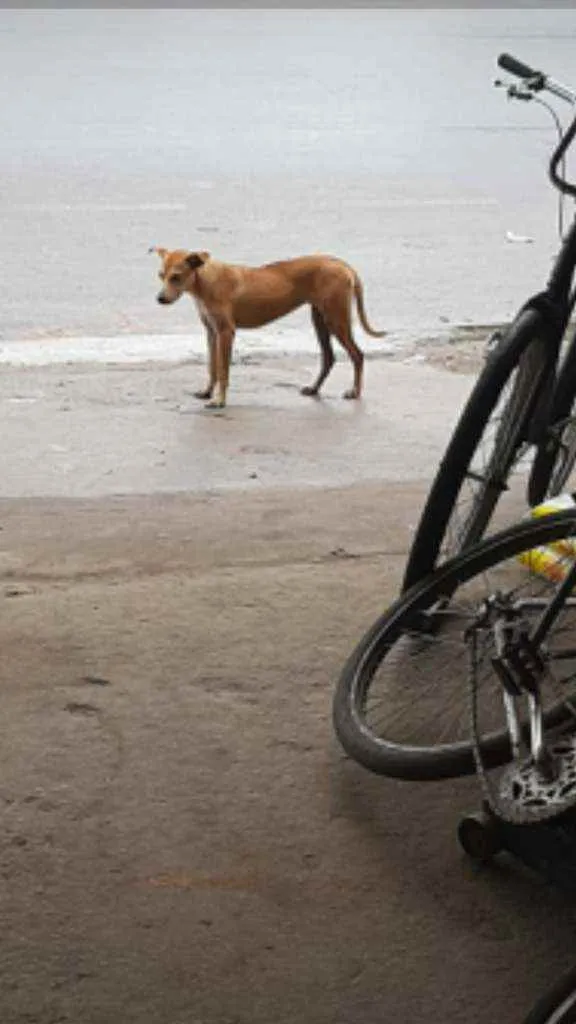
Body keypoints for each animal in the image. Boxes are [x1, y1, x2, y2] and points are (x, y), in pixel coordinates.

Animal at [152, 245, 385, 405]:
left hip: (336, 319)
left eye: (176, 277)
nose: (160, 299)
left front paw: (219, 400)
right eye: (161, 276)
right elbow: (213, 368)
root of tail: (341, 264)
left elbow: (224, 371)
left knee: (357, 355)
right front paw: (208, 392)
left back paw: (355, 392)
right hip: (320, 319)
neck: (205, 282)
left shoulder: (226, 332)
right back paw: (314, 389)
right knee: (329, 357)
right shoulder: (212, 333)